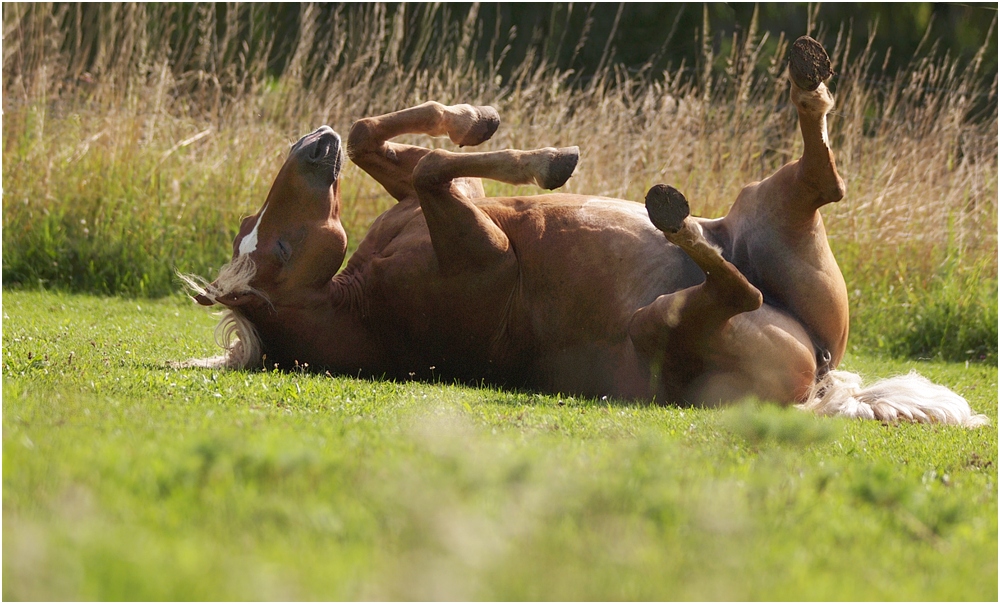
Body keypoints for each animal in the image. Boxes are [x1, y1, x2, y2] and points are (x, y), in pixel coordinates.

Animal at [180, 37, 984, 428]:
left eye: (257, 232)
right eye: (275, 249)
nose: (310, 147)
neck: (359, 301)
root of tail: (821, 379)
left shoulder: (442, 202)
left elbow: (385, 139)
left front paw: (478, 118)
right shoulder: (480, 242)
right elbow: (435, 164)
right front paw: (548, 161)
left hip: (771, 210)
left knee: (819, 184)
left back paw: (804, 80)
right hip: (669, 321)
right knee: (744, 283)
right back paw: (677, 219)